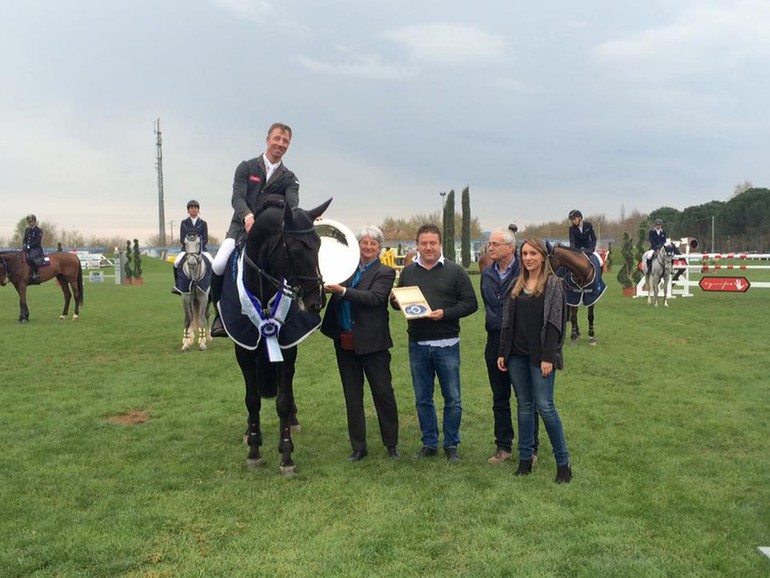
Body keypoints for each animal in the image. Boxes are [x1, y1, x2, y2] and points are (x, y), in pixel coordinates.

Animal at [216, 194, 330, 472]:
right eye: (296, 248)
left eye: (319, 244)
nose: (317, 301)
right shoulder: (244, 350)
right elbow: (252, 400)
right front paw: (254, 450)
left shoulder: (287, 349)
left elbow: (283, 400)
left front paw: (286, 454)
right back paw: (249, 432)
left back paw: (292, 422)